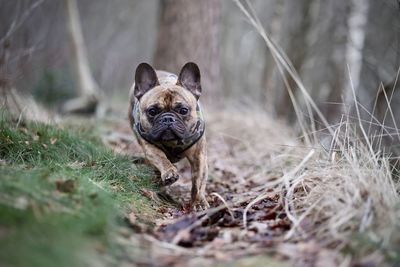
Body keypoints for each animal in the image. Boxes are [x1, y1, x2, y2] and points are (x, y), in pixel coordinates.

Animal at [128, 62, 209, 209]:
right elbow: (161, 158)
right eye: (152, 111)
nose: (167, 119)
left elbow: (198, 181)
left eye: (183, 110)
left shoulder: (199, 156)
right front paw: (169, 172)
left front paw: (198, 201)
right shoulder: (150, 147)